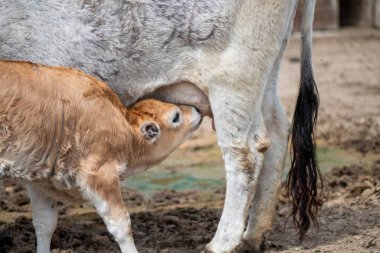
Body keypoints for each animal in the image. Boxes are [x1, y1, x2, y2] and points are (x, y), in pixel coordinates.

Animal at [0, 0, 320, 252]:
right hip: (264, 77)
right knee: (276, 133)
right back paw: (253, 237)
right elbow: (44, 218)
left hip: (234, 78)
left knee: (245, 153)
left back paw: (222, 243)